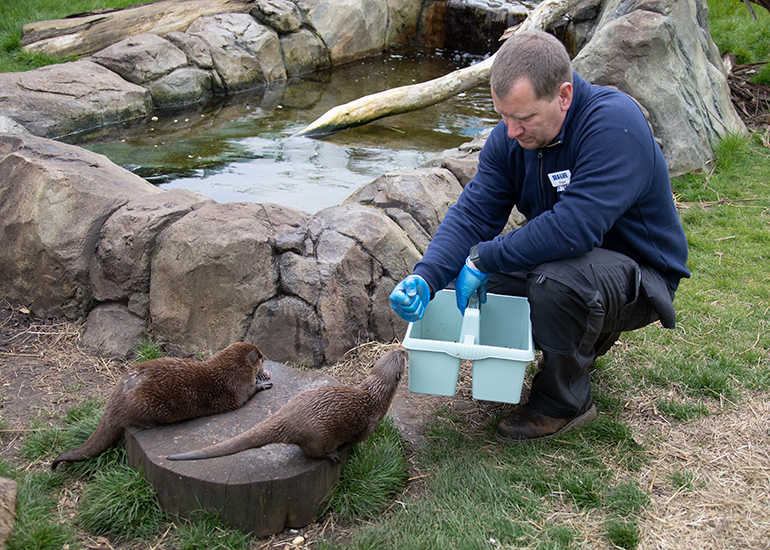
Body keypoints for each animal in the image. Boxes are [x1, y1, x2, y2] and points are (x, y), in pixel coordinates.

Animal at [52, 342, 271, 470]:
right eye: (260, 355)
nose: (265, 357)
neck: (231, 367)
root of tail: (118, 395)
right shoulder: (237, 386)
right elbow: (247, 394)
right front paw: (262, 383)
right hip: (144, 404)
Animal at [166, 347, 407, 462]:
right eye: (402, 358)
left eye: (393, 353)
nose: (403, 349)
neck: (374, 395)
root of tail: (288, 419)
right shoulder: (369, 424)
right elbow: (357, 440)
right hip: (318, 436)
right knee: (313, 453)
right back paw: (332, 456)